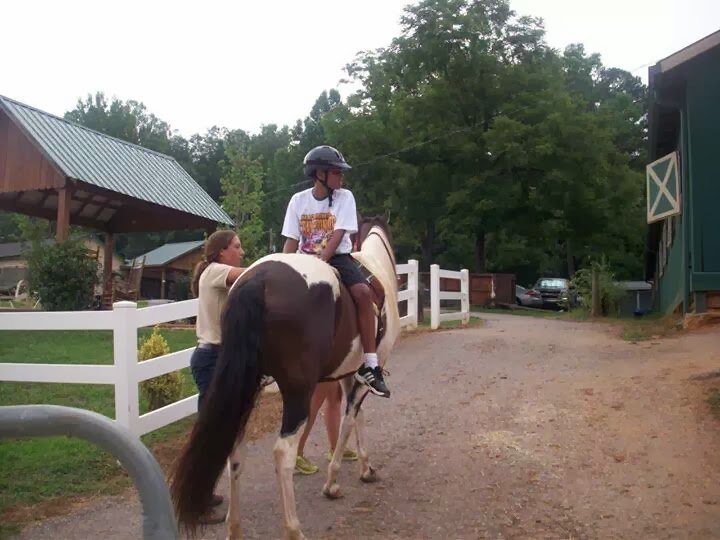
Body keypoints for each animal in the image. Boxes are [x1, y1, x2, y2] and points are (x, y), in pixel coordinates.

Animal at [170, 216, 400, 540]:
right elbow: (348, 422)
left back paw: (234, 528)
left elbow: (357, 418)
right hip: (296, 393)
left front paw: (365, 468)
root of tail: (257, 280)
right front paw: (333, 483)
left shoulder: (349, 375)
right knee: (282, 454)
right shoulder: (361, 377)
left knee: (235, 452)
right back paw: (293, 529)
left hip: (247, 391)